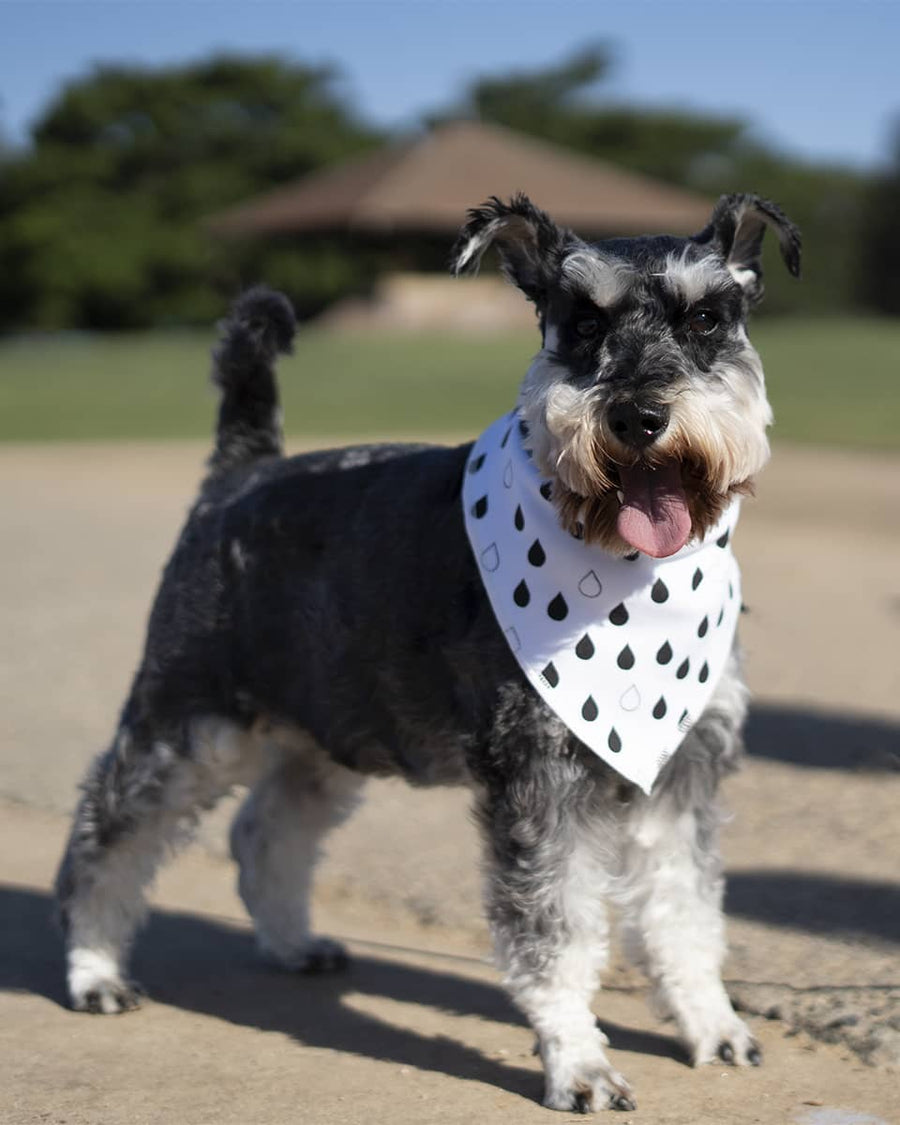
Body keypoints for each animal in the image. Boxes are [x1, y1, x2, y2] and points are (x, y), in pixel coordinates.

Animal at [57, 189, 801, 1111]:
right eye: (582, 323)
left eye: (704, 317)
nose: (638, 416)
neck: (629, 577)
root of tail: (240, 472)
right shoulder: (537, 785)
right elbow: (556, 933)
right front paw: (579, 1063)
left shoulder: (681, 777)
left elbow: (684, 913)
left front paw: (712, 1024)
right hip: (188, 719)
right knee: (107, 830)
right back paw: (93, 969)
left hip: (322, 734)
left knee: (266, 831)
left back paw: (291, 941)